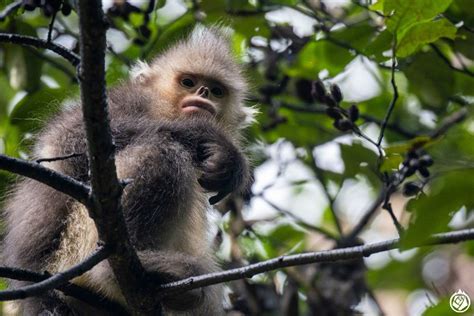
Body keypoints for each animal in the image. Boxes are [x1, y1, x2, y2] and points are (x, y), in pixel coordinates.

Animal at [2, 25, 256, 316]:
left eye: (217, 91)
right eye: (188, 82)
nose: (203, 92)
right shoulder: (122, 100)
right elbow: (68, 138)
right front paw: (216, 144)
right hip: (71, 250)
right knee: (161, 151)